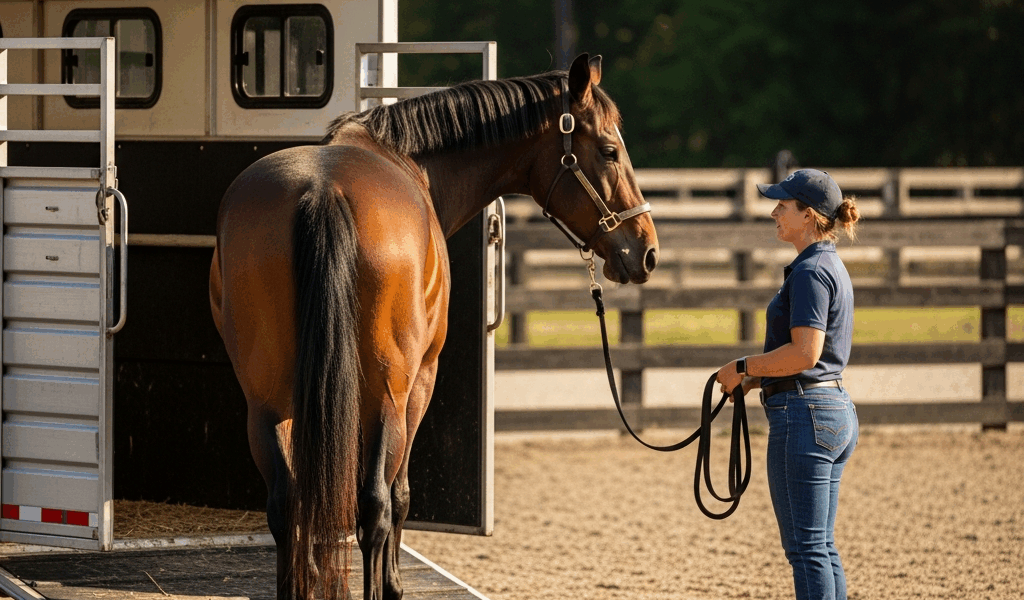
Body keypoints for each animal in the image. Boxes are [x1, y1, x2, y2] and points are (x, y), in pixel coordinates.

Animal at [208, 53, 659, 600]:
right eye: (610, 151)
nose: (646, 250)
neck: (407, 161)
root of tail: (322, 190)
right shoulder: (421, 378)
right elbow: (399, 493)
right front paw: (394, 584)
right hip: (385, 391)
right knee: (375, 504)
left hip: (268, 399)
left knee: (287, 504)